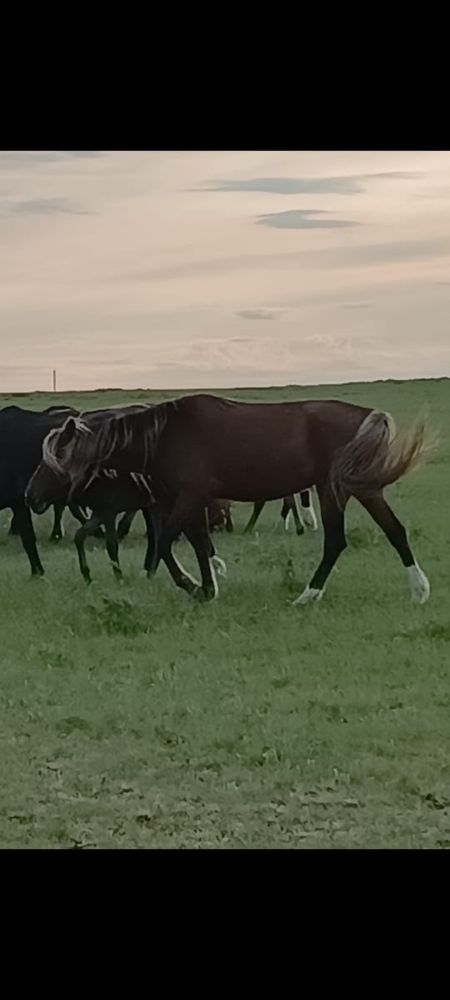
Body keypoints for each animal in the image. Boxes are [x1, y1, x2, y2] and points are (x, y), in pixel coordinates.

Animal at [25, 394, 432, 604]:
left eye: (52, 459)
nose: (30, 495)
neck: (166, 435)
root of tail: (367, 415)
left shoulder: (189, 497)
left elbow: (166, 545)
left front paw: (194, 586)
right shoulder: (195, 500)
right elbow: (198, 543)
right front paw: (208, 586)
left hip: (335, 488)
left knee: (337, 541)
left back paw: (309, 595)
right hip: (359, 487)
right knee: (392, 531)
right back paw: (418, 590)